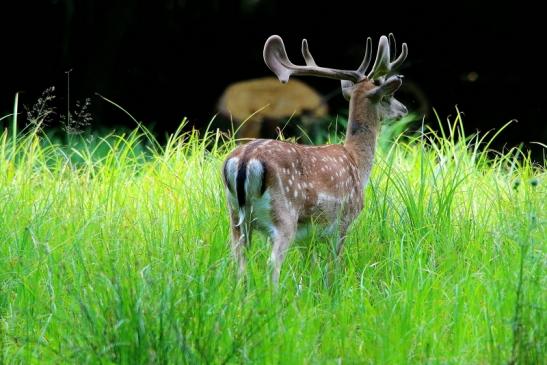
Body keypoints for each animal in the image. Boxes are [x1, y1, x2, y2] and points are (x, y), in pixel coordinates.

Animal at [222, 33, 406, 284]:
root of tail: (245, 160)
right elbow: (333, 267)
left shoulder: (307, 236)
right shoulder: (343, 221)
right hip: (284, 215)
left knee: (238, 262)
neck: (358, 163)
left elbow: (309, 266)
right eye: (388, 96)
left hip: (235, 217)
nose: (404, 109)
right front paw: (333, 289)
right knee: (273, 263)